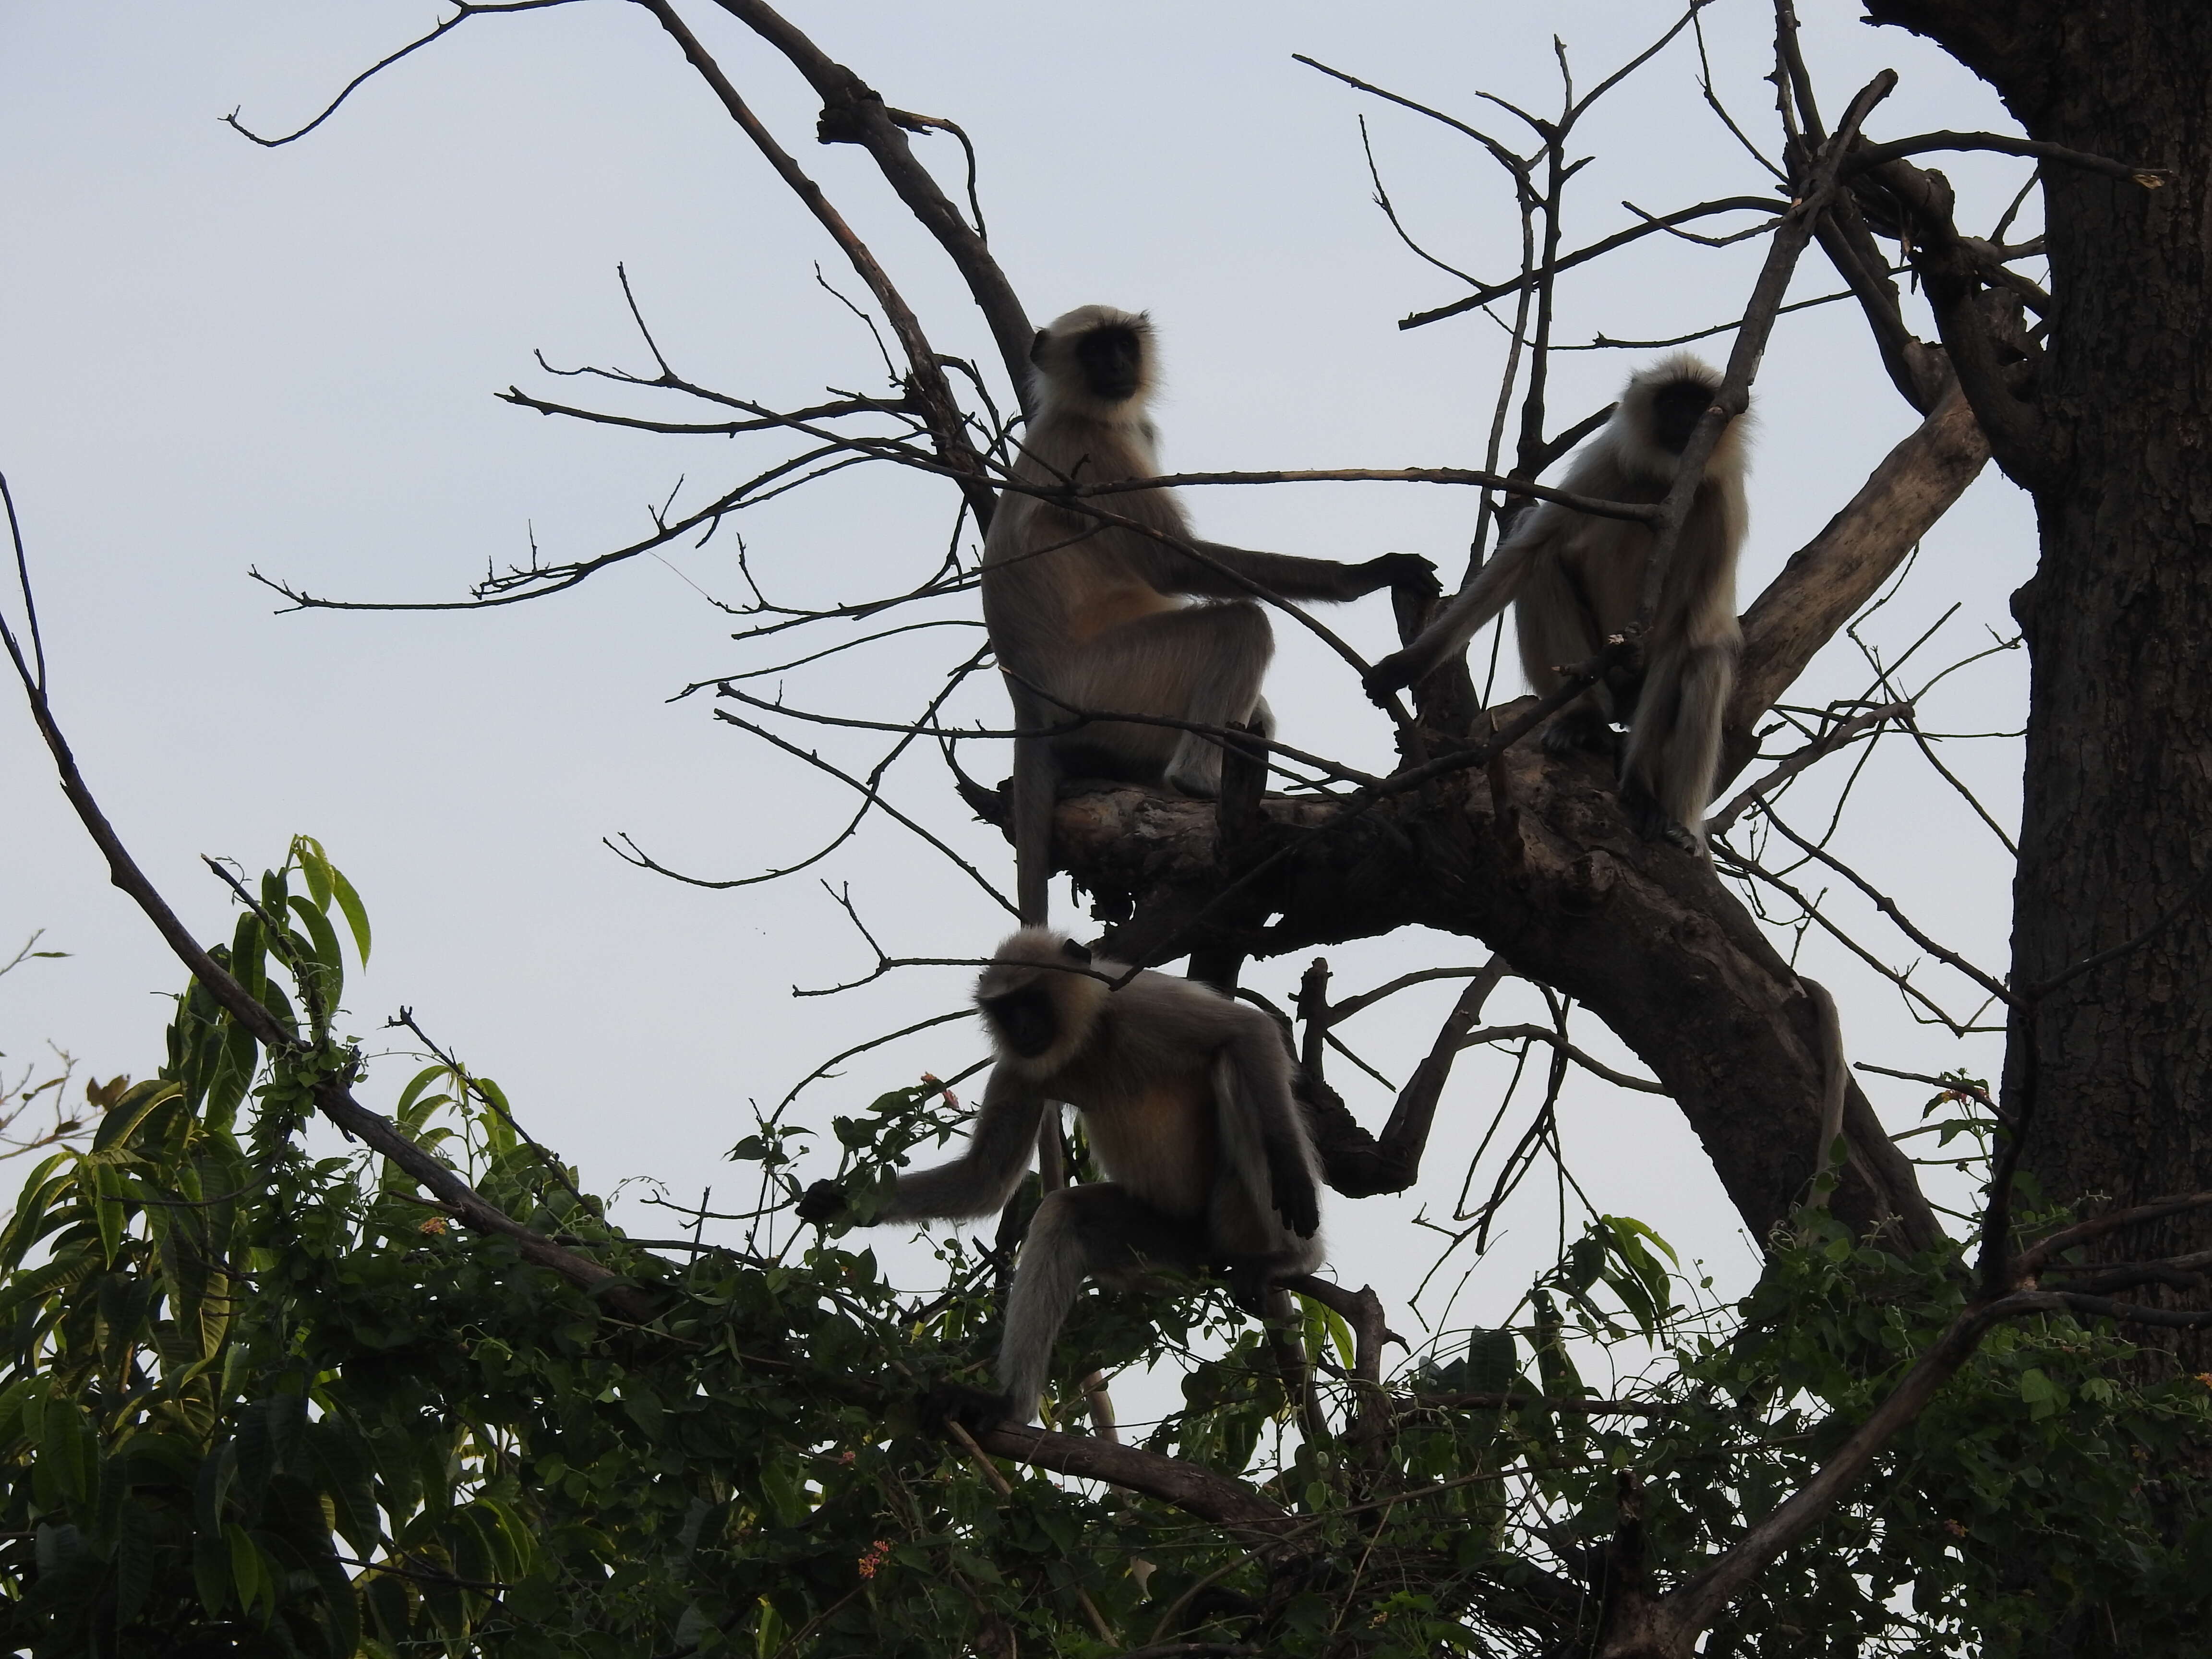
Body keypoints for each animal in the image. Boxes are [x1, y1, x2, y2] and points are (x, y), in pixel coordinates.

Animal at [796, 929, 1318, 1424]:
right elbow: (984, 1180)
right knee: (1065, 1214)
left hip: (1233, 1211)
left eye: (1032, 1000)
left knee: (1235, 1069)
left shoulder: (1140, 999)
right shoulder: (1018, 1067)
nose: (1023, 1028)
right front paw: (839, 1201)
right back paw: (1007, 1404)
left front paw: (1293, 1176)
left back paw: (1291, 1259)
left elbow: (1251, 1031)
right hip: (1171, 1248)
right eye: (1006, 1011)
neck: (1087, 1043)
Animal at [995, 307, 1442, 929]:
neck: (1080, 411)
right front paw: (1363, 574)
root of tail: (1026, 702)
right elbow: (1174, 565)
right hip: (1103, 682)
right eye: (1094, 351)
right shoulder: (1095, 450)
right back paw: (1197, 782)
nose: (1117, 367)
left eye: (1122, 346)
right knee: (1240, 625)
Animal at [1362, 354, 1743, 858]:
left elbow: (1683, 635)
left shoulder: (1721, 507)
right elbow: (1530, 551)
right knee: (1542, 559)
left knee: (1706, 660)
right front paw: (1408, 665)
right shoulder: (1607, 463)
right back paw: (1585, 720)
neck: (1665, 485)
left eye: (1698, 406)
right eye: (1672, 403)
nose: (1685, 422)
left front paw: (1641, 787)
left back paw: (1682, 827)